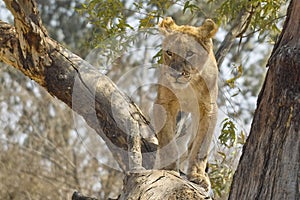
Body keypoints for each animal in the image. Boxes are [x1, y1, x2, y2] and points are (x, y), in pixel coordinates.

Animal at [155, 17, 218, 189]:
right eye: (169, 52)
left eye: (189, 53)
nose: (175, 74)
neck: (189, 85)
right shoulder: (164, 103)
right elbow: (167, 139)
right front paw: (168, 168)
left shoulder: (208, 110)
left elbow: (200, 147)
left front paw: (197, 175)